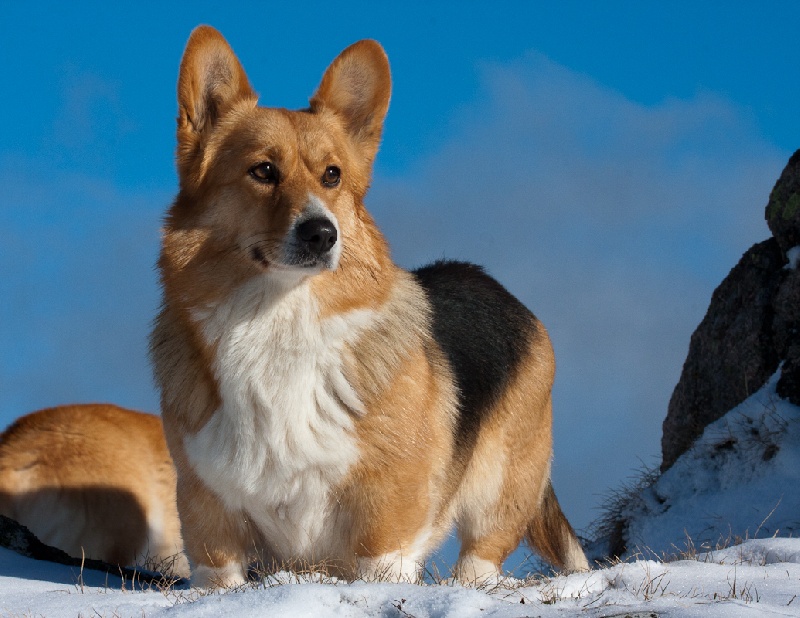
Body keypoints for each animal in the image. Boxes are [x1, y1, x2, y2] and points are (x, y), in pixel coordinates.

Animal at [152, 22, 588, 584]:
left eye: (332, 175)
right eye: (263, 171)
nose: (321, 234)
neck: (276, 317)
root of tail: (491, 283)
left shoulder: (387, 508)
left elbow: (381, 562)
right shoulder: (207, 509)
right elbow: (218, 573)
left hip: (499, 490)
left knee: (481, 558)